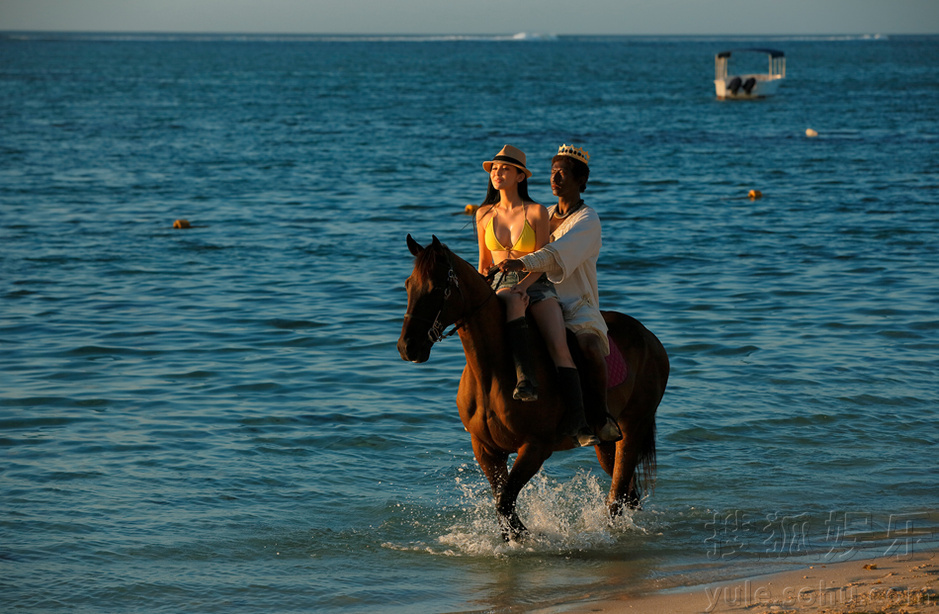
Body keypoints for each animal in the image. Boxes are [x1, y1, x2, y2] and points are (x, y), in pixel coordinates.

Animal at [396, 237, 668, 544]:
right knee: (626, 492)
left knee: (618, 495)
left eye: (437, 289)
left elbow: (504, 503)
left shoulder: (535, 447)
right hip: (607, 442)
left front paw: (527, 537)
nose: (407, 347)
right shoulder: (486, 449)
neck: (493, 373)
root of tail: (650, 337)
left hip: (633, 427)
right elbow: (503, 504)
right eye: (408, 285)